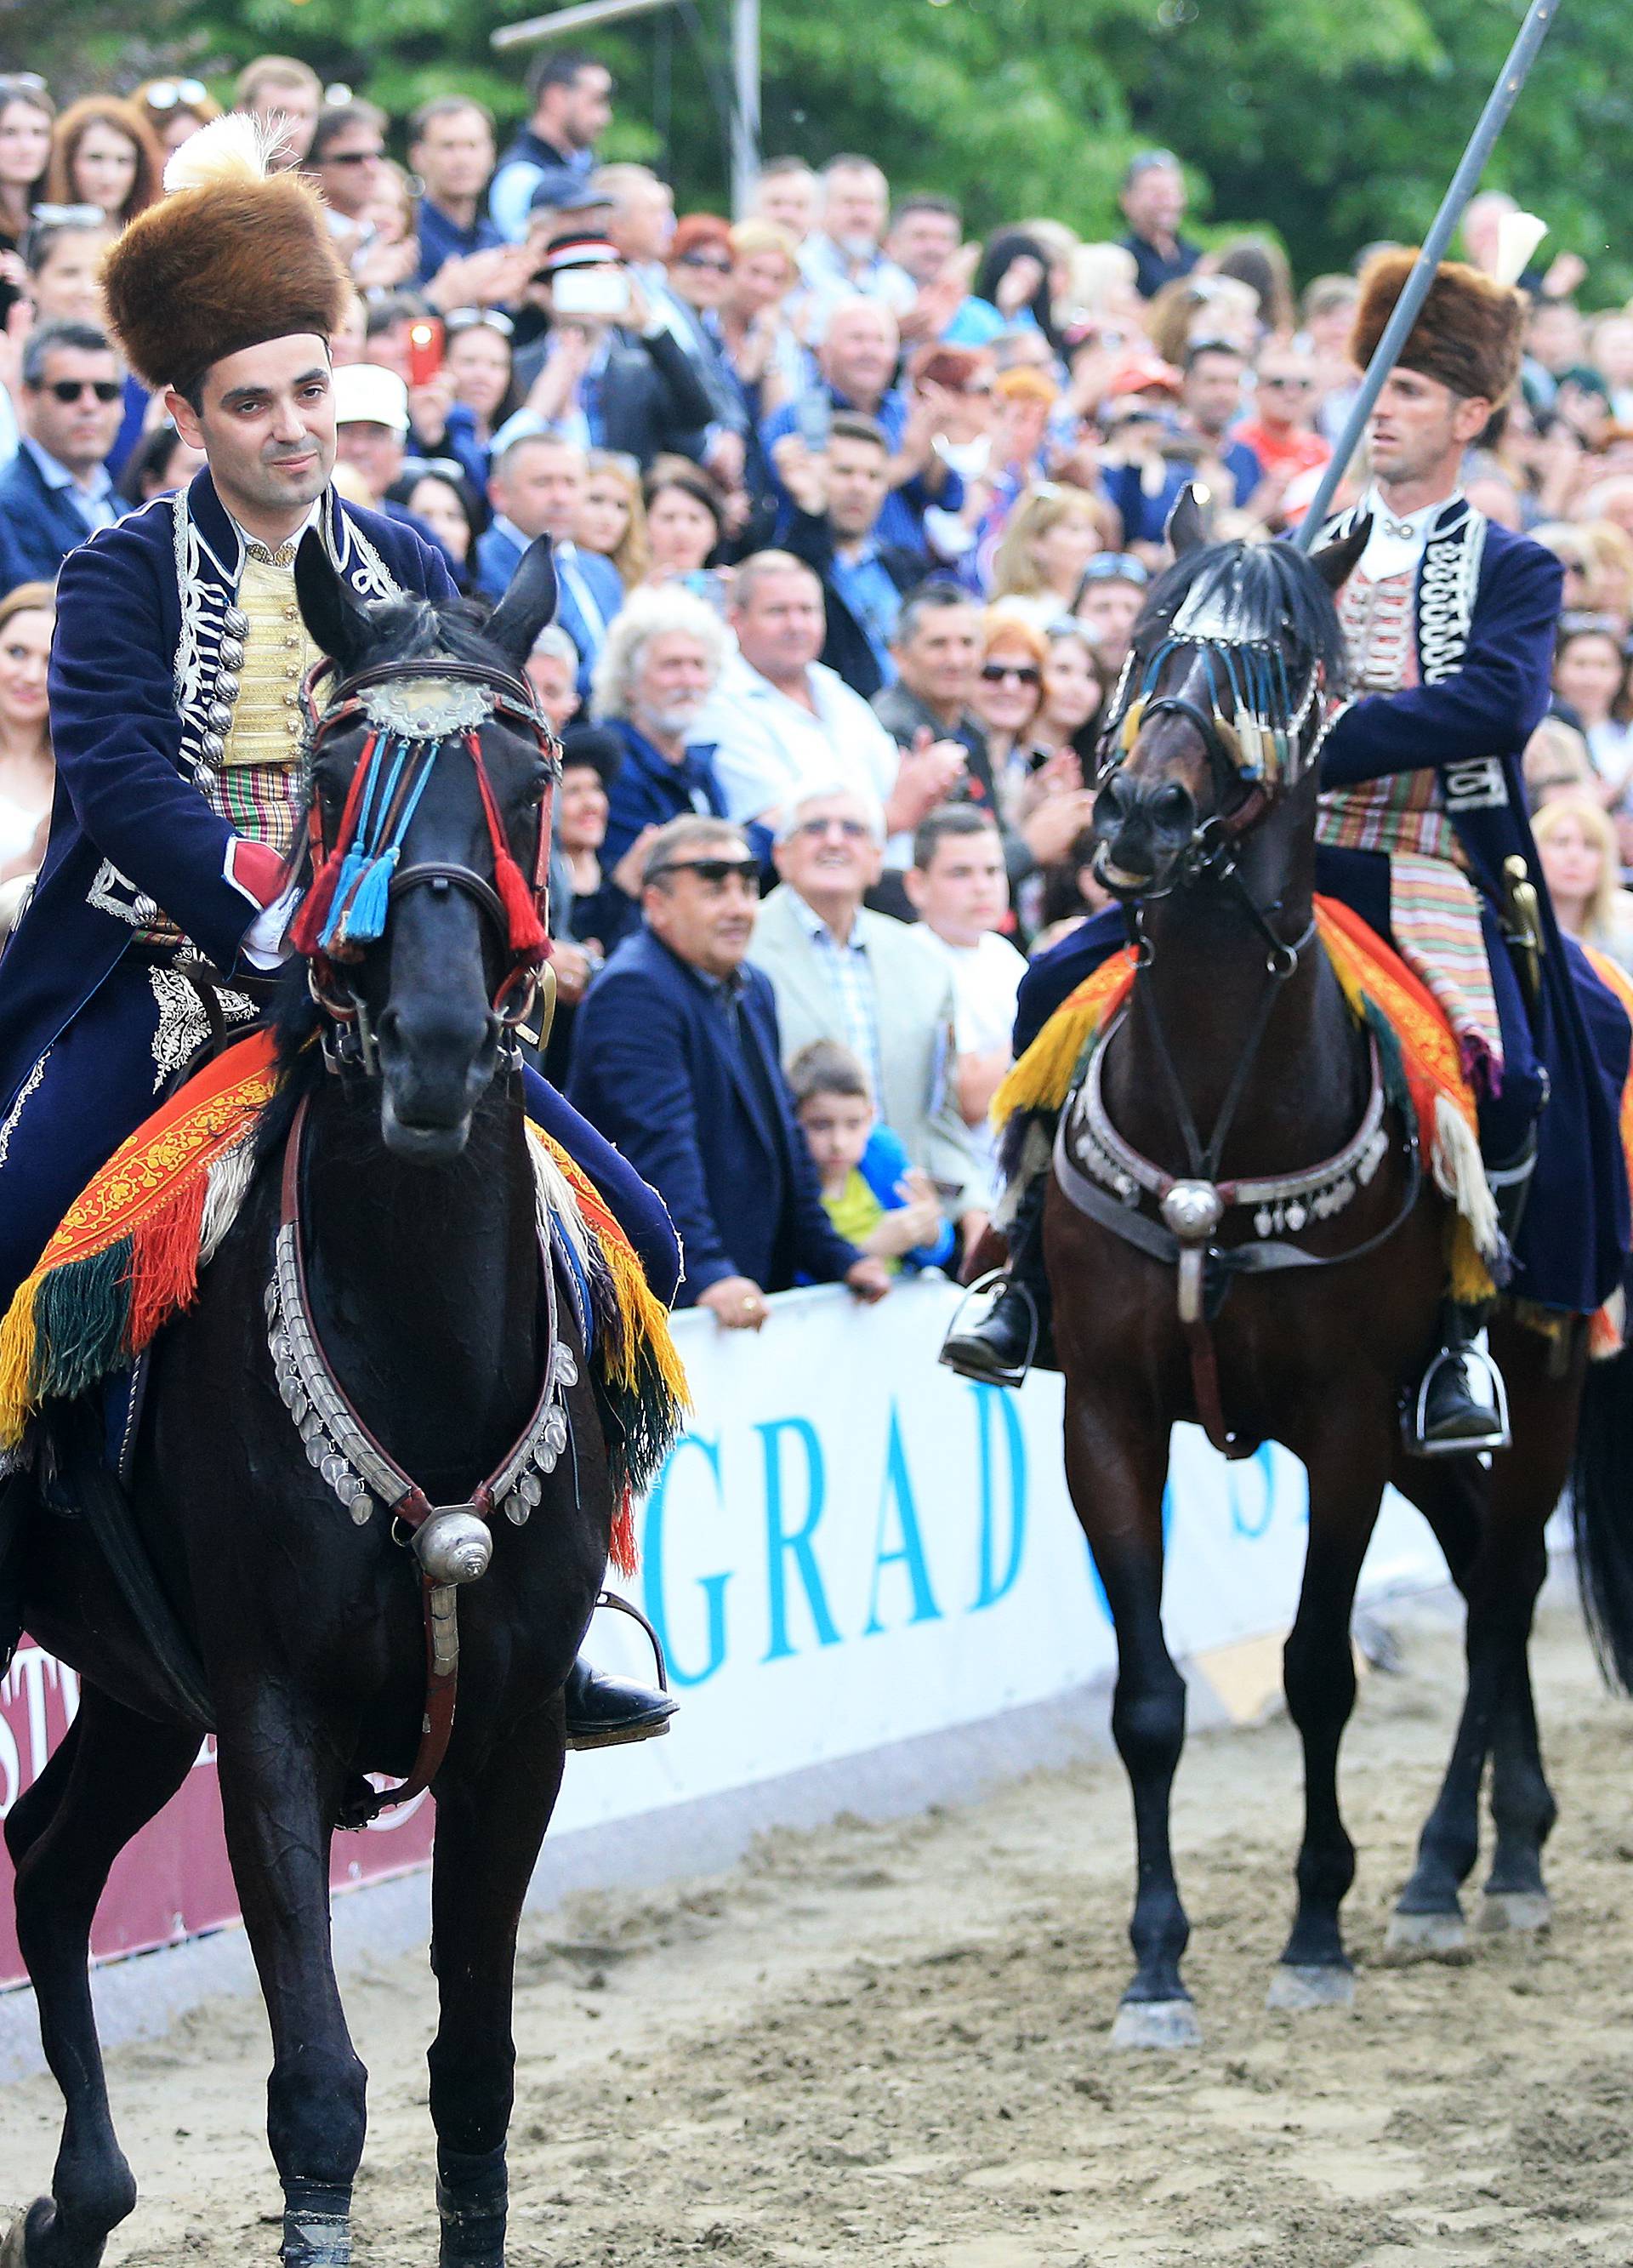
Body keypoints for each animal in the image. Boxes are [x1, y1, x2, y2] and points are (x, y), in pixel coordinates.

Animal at [3, 539, 617, 2259]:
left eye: (534, 776)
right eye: (342, 776)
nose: (432, 1047)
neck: (415, 1336)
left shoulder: (515, 1726)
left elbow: (474, 2074)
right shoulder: (271, 1713)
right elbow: (320, 2090)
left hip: (137, 1687)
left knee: (47, 1856)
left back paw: (78, 2202)